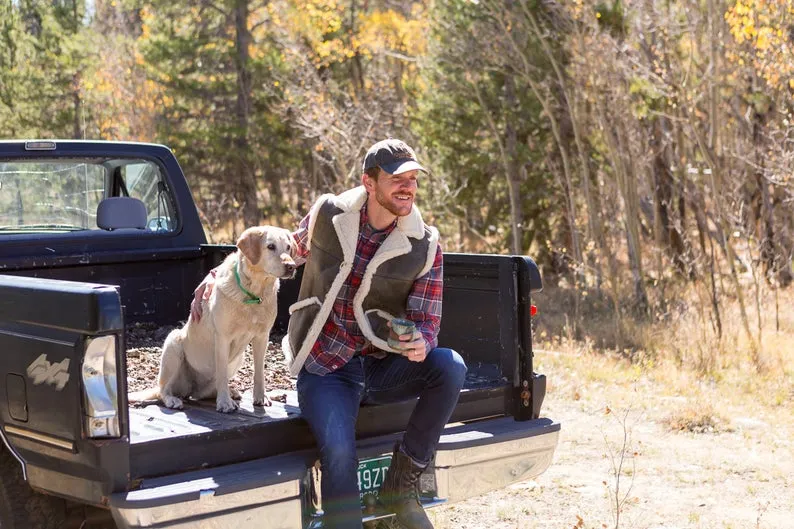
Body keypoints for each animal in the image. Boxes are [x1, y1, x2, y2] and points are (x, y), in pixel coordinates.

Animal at [131, 225, 296, 410]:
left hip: (238, 358)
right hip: (173, 343)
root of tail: (192, 389)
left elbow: (259, 371)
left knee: (206, 391)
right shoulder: (223, 338)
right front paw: (224, 403)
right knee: (163, 390)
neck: (253, 293)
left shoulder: (262, 337)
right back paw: (174, 400)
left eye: (288, 247)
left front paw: (261, 397)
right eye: (270, 246)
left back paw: (230, 392)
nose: (291, 266)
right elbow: (222, 373)